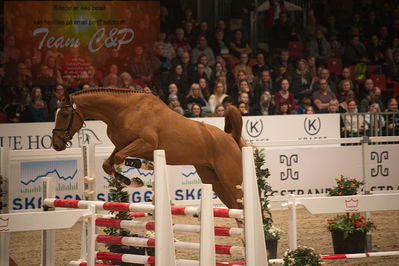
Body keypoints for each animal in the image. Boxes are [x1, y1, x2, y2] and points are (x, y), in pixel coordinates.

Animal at [51, 88, 245, 209]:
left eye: (65, 115)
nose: (56, 144)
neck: (123, 110)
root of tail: (230, 138)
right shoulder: (121, 145)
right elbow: (108, 164)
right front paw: (133, 180)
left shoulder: (146, 143)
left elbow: (120, 158)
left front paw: (145, 167)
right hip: (213, 179)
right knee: (235, 208)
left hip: (230, 178)